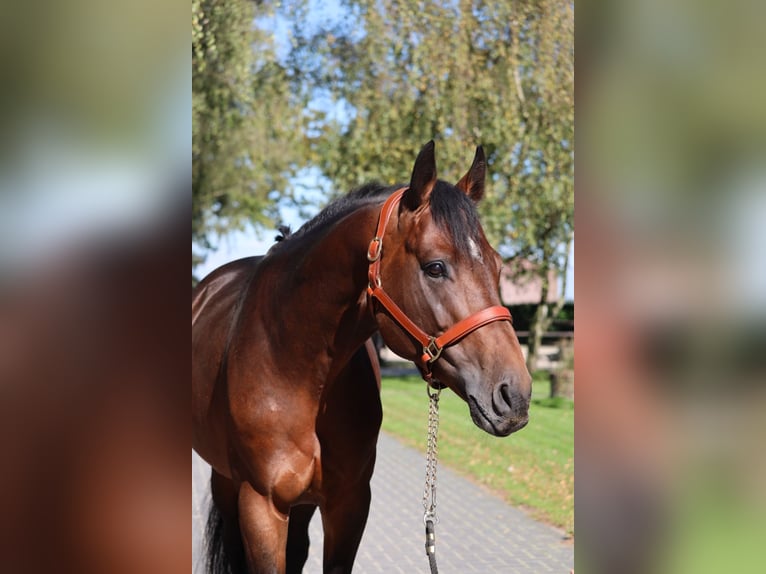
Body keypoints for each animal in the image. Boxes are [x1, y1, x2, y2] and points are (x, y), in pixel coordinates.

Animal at [192, 142, 536, 572]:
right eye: (435, 267)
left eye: (497, 265)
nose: (514, 396)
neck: (294, 368)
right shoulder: (261, 506)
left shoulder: (349, 504)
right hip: (227, 483)